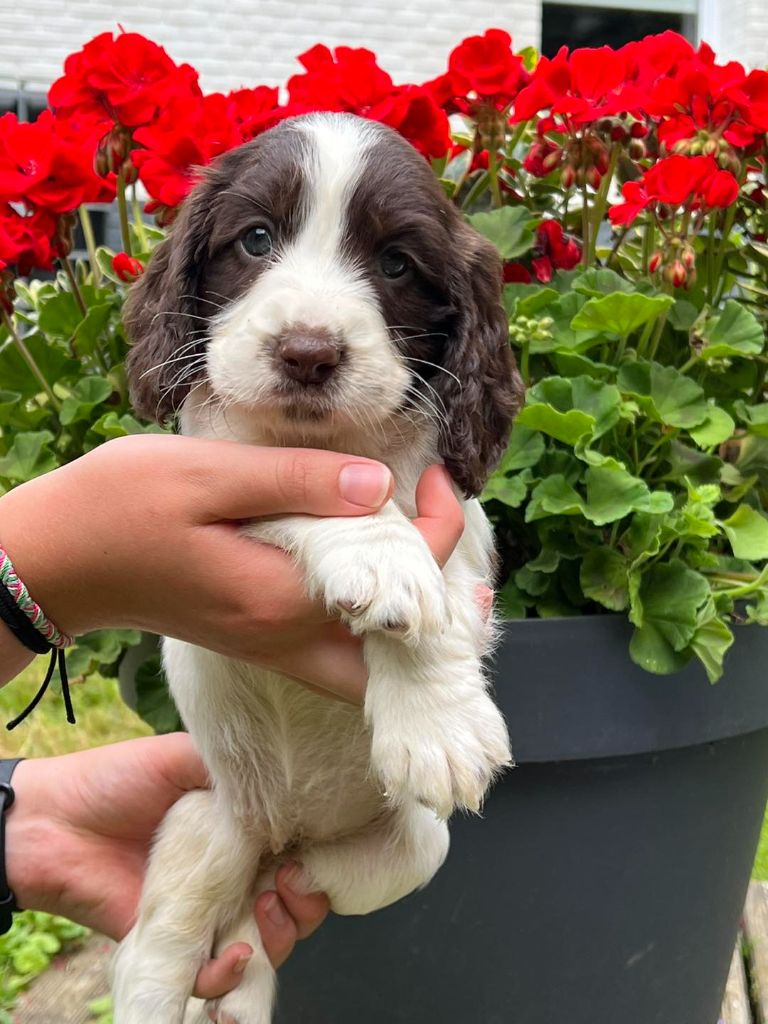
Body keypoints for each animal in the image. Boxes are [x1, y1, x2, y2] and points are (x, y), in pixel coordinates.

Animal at [112, 112, 524, 1024]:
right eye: (256, 240)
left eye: (397, 264)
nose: (307, 353)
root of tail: (278, 833)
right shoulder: (217, 470)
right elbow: (324, 492)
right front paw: (379, 554)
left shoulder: (465, 536)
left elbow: (447, 603)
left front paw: (439, 724)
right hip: (200, 820)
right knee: (156, 948)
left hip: (413, 844)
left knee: (282, 901)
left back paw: (251, 963)